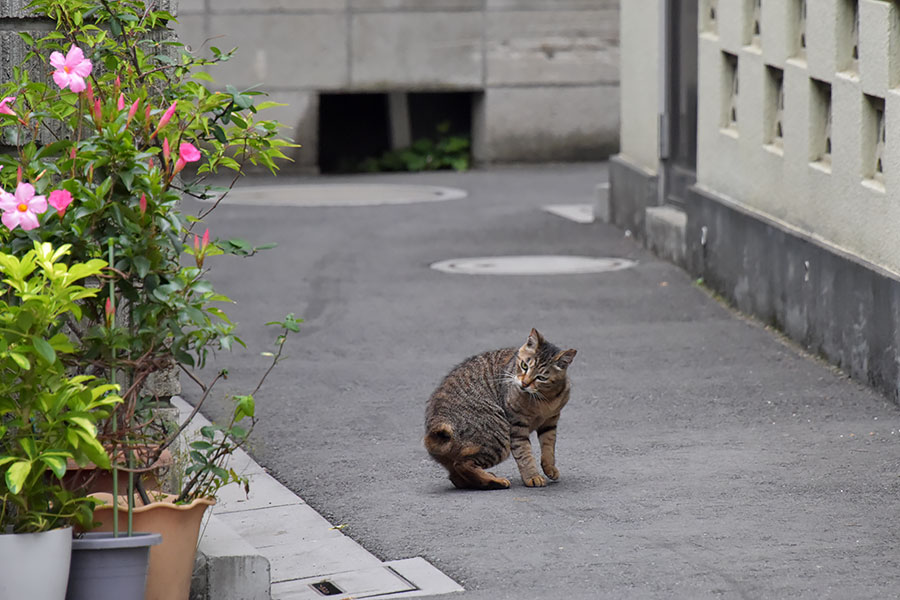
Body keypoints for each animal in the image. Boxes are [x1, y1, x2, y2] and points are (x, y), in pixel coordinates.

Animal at [424, 330, 576, 490]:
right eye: (524, 366)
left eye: (541, 377)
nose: (524, 383)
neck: (545, 398)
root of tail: (434, 427)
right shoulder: (517, 426)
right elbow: (525, 454)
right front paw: (532, 476)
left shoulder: (550, 422)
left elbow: (548, 448)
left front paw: (549, 468)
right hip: (499, 437)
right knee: (462, 465)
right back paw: (496, 482)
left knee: (456, 476)